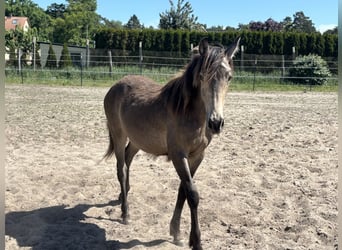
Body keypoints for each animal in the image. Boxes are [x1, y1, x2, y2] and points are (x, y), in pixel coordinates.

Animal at [104, 37, 240, 250]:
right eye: (202, 76)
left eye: (229, 76)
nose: (216, 123)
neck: (187, 112)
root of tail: (115, 86)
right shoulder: (178, 155)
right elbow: (192, 194)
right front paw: (196, 241)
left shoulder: (197, 156)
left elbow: (182, 191)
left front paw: (176, 232)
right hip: (119, 136)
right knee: (121, 169)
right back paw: (125, 213)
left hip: (137, 140)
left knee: (127, 160)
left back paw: (122, 195)